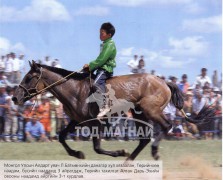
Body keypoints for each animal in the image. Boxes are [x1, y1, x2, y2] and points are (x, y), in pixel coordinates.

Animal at [12, 60, 213, 160]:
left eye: (29, 77)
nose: (15, 98)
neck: (75, 90)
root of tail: (164, 82)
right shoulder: (77, 121)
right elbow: (61, 137)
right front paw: (78, 154)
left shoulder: (97, 122)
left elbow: (98, 147)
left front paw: (119, 152)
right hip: (140, 114)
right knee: (144, 139)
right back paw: (129, 160)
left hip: (151, 111)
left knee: (166, 126)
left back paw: (153, 152)